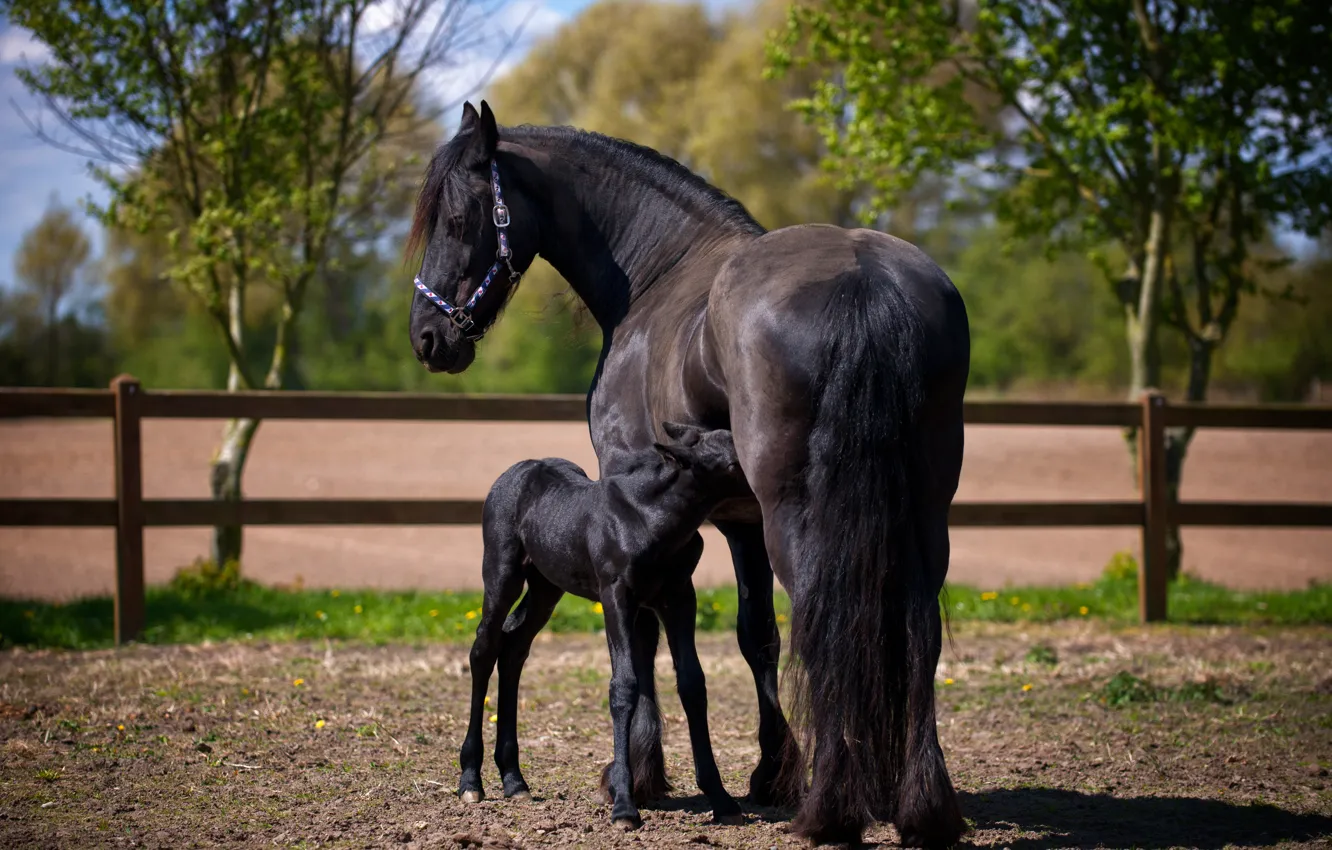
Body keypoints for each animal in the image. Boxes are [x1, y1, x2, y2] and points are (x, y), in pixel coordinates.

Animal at [458, 422, 749, 828]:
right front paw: (624, 806)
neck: (650, 518)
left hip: (546, 586)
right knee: (484, 650)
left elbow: (693, 683)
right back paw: (471, 780)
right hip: (502, 573)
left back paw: (515, 780)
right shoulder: (616, 596)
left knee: (514, 647)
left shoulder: (679, 597)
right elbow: (624, 686)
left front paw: (721, 798)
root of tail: (516, 471)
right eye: (733, 461)